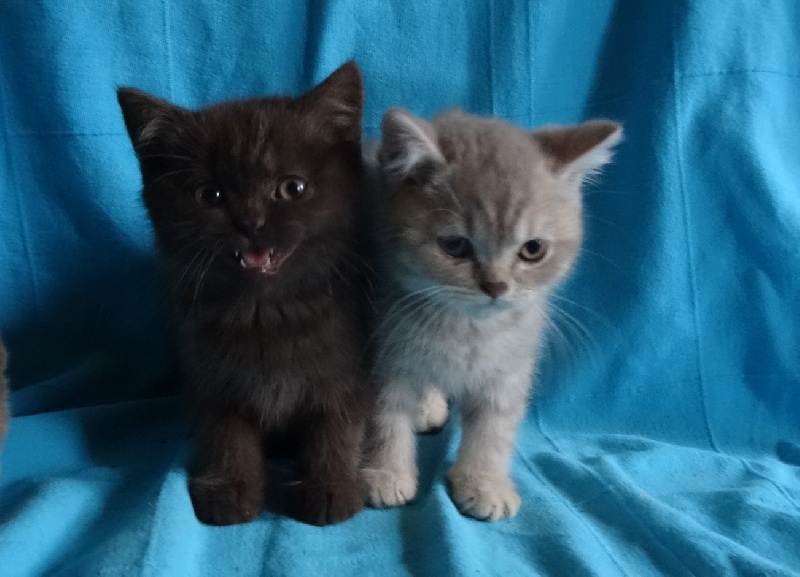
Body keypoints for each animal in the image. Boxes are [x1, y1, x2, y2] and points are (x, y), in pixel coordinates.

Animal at [116, 63, 372, 528]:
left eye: (292, 188)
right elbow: (226, 433)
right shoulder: (210, 376)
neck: (265, 311)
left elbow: (338, 423)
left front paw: (329, 485)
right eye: (209, 194)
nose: (251, 222)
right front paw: (230, 488)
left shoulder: (347, 368)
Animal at [366, 107, 620, 516]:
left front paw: (484, 481)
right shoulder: (381, 357)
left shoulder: (510, 368)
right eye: (455, 246)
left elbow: (494, 428)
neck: (467, 331)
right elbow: (383, 419)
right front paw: (385, 473)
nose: (496, 286)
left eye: (533, 249)